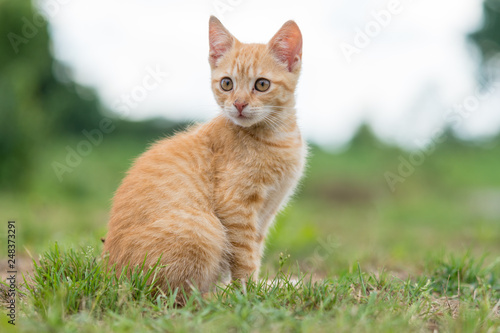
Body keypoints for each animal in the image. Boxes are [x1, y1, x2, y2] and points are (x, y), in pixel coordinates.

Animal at [102, 15, 304, 296]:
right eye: (227, 83)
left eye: (262, 84)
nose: (239, 104)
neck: (278, 136)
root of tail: (111, 277)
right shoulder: (236, 205)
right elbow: (244, 257)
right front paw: (248, 293)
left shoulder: (266, 213)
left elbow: (255, 250)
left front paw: (257, 287)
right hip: (203, 229)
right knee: (182, 296)